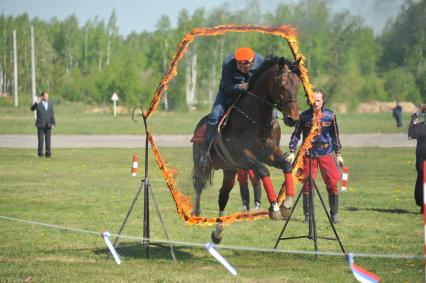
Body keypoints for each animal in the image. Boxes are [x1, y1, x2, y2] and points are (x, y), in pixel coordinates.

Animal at [191, 56, 302, 244]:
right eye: (282, 85)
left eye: (298, 85)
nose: (293, 119)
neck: (259, 122)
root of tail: (200, 124)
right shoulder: (244, 157)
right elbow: (263, 171)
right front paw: (275, 208)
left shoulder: (271, 154)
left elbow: (287, 166)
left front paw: (287, 204)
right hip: (201, 163)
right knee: (198, 185)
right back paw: (195, 213)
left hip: (229, 170)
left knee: (223, 196)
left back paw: (217, 232)